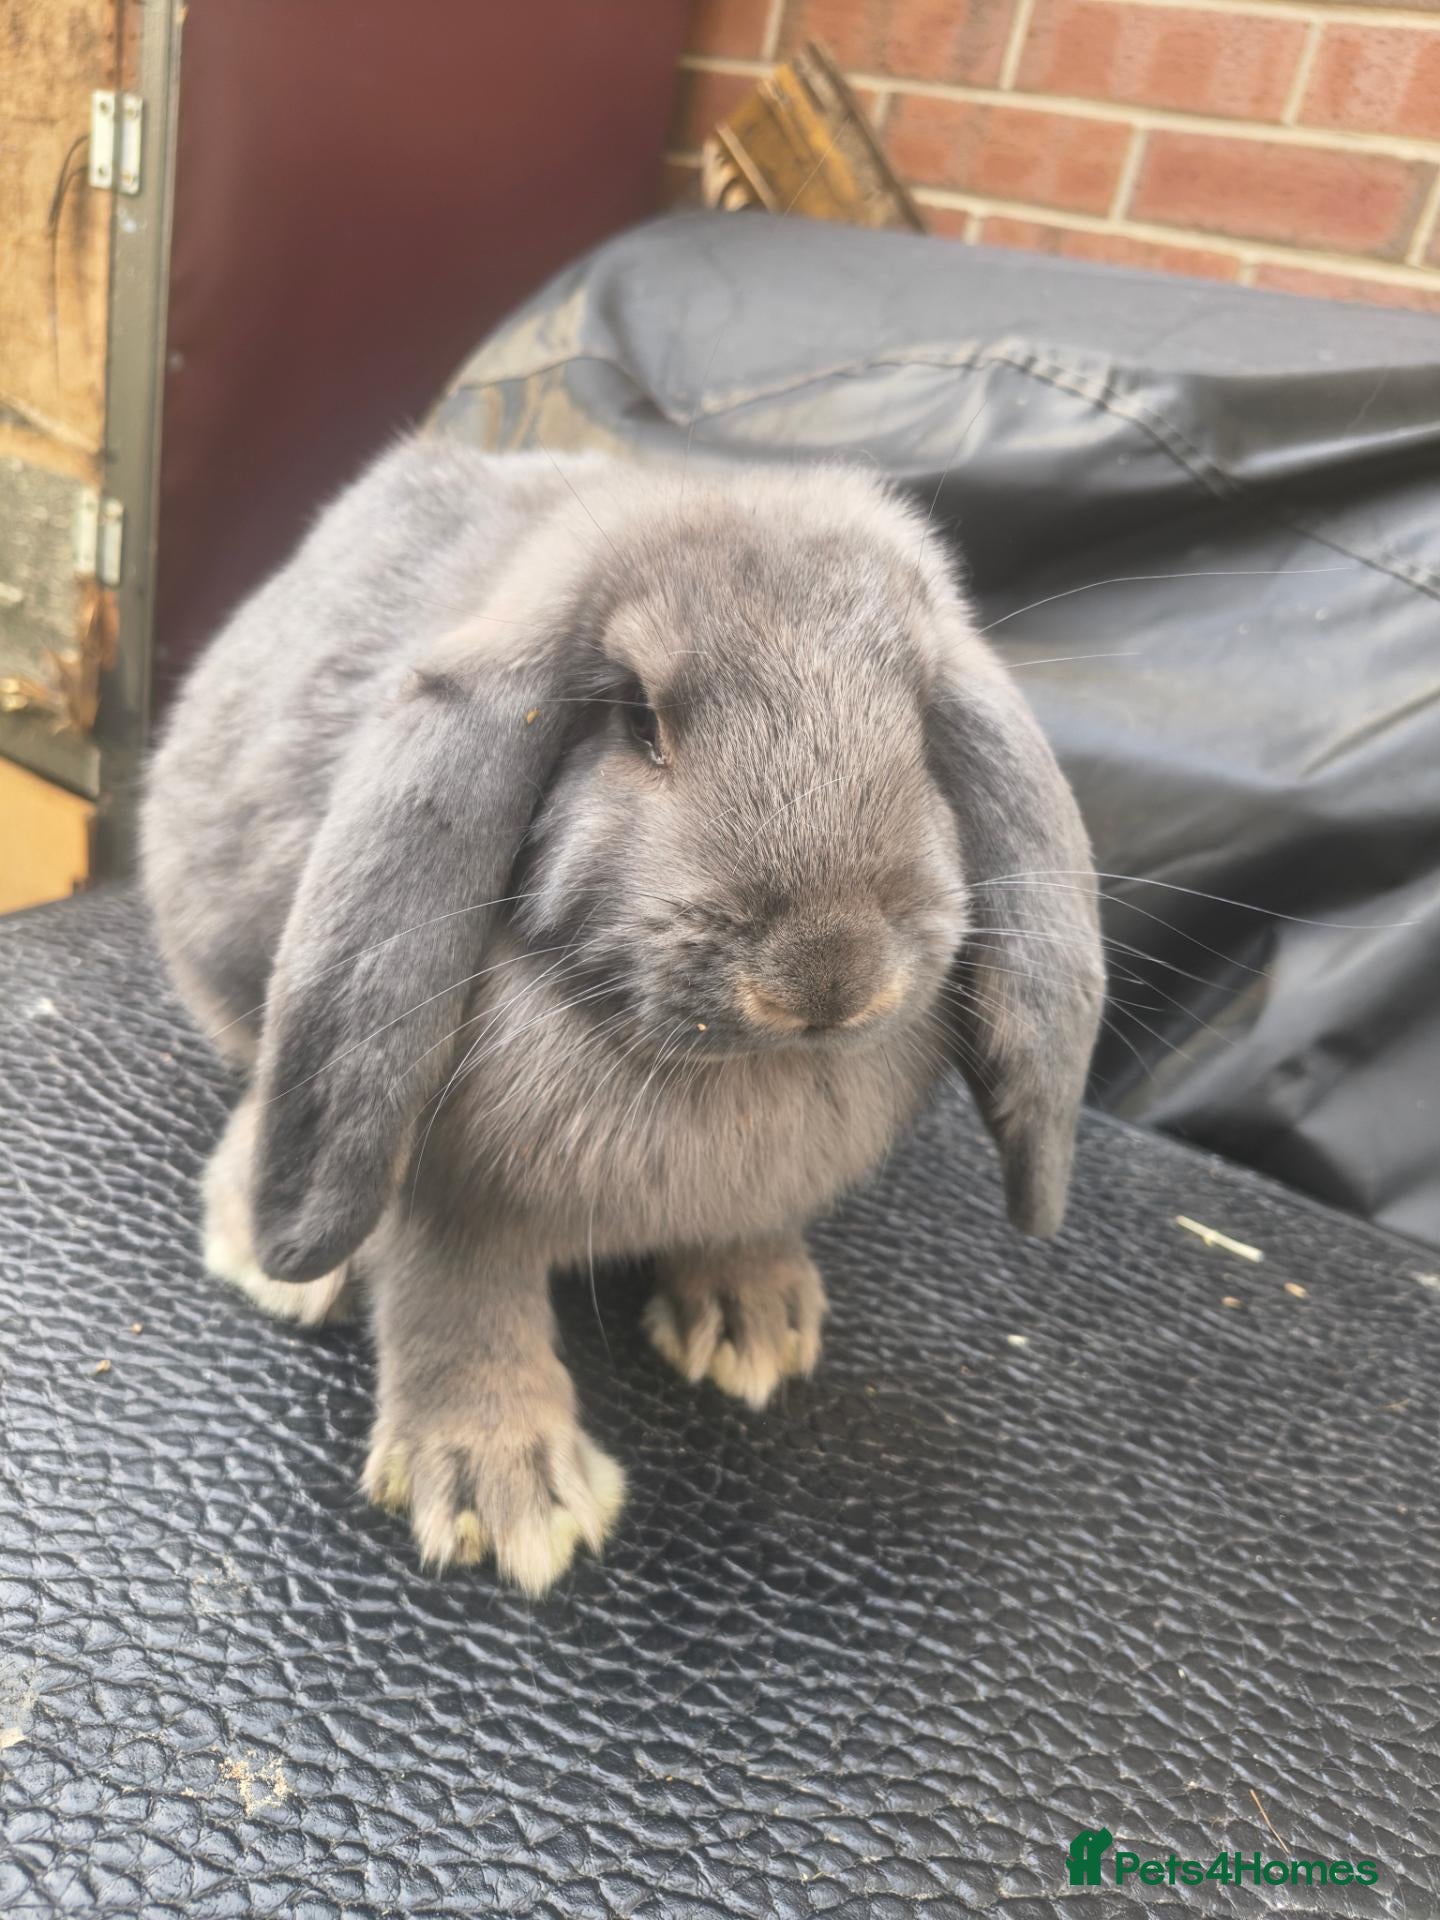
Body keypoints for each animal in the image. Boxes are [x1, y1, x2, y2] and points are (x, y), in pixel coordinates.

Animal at [142, 436, 1105, 1595]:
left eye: (919, 718)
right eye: (638, 716)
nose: (828, 975)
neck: (722, 1073)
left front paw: (756, 1323)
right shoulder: (444, 1190)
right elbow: (451, 1303)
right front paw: (503, 1490)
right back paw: (267, 1249)